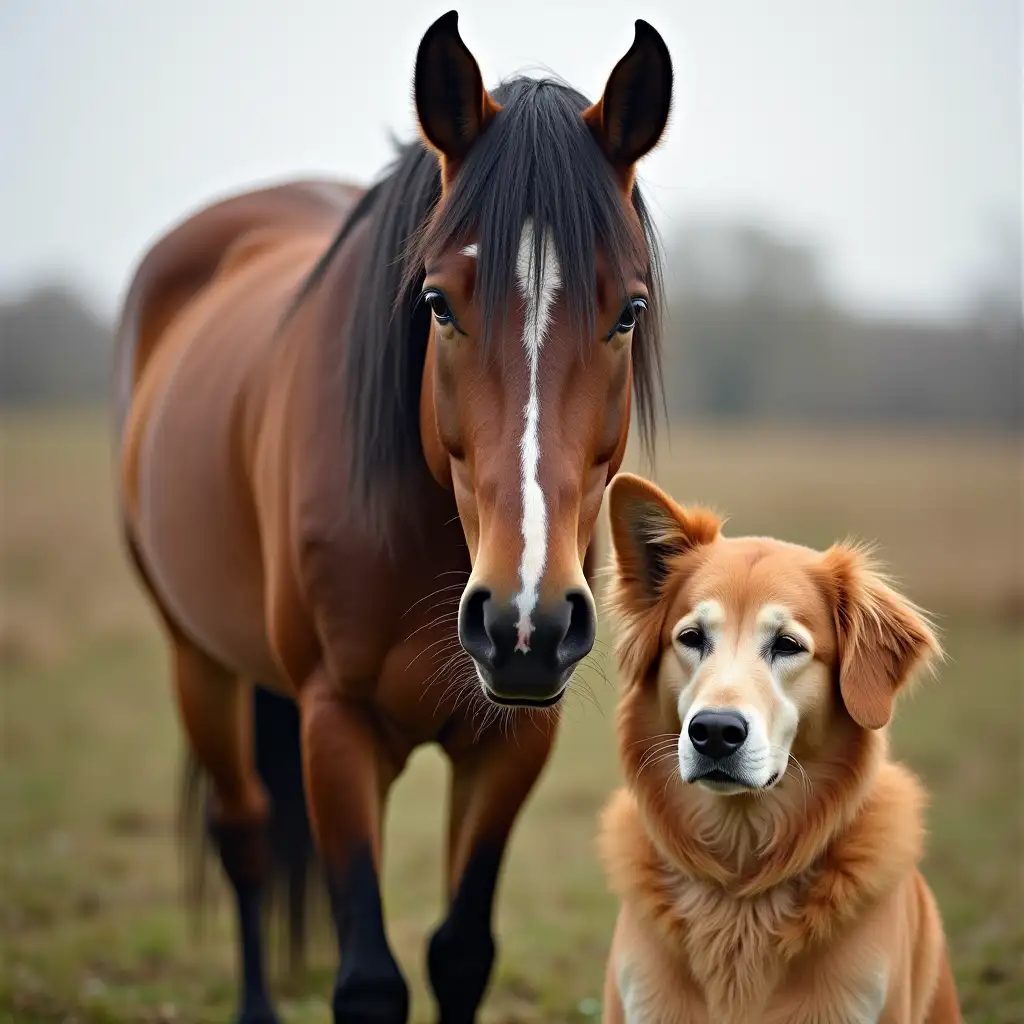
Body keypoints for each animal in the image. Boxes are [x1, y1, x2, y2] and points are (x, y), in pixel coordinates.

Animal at [114, 9, 671, 1024]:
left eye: (628, 311)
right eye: (437, 303)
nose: (524, 622)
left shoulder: (514, 736)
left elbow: (460, 952)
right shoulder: (334, 723)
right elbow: (368, 978)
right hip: (197, 657)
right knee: (244, 835)